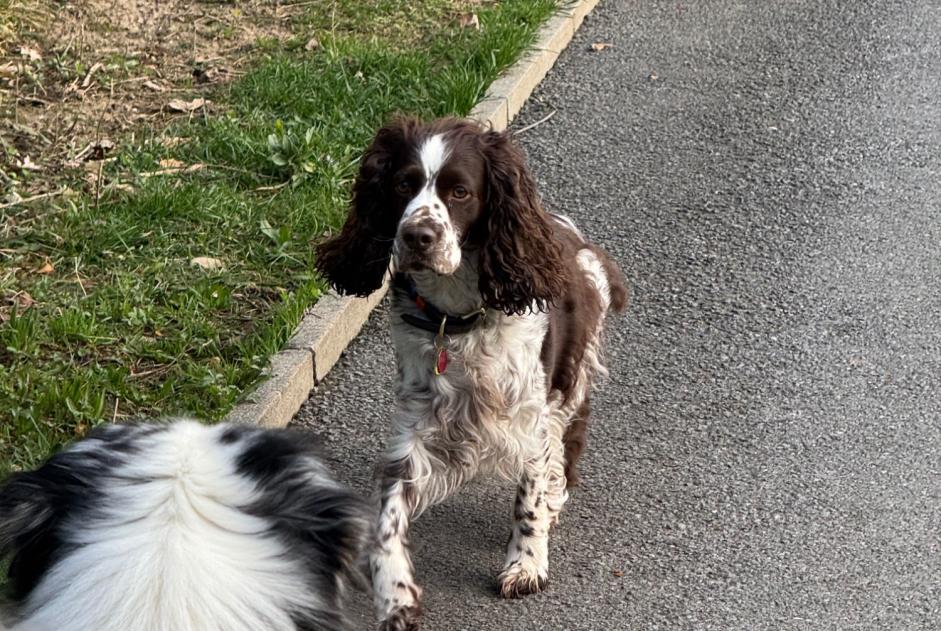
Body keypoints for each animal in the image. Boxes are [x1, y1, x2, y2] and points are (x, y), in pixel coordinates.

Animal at [314, 116, 624, 628]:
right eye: (403, 184)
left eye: (460, 192)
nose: (418, 236)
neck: (455, 317)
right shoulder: (416, 424)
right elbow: (387, 520)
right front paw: (395, 595)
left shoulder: (528, 416)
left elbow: (529, 494)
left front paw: (526, 564)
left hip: (571, 372)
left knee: (569, 437)